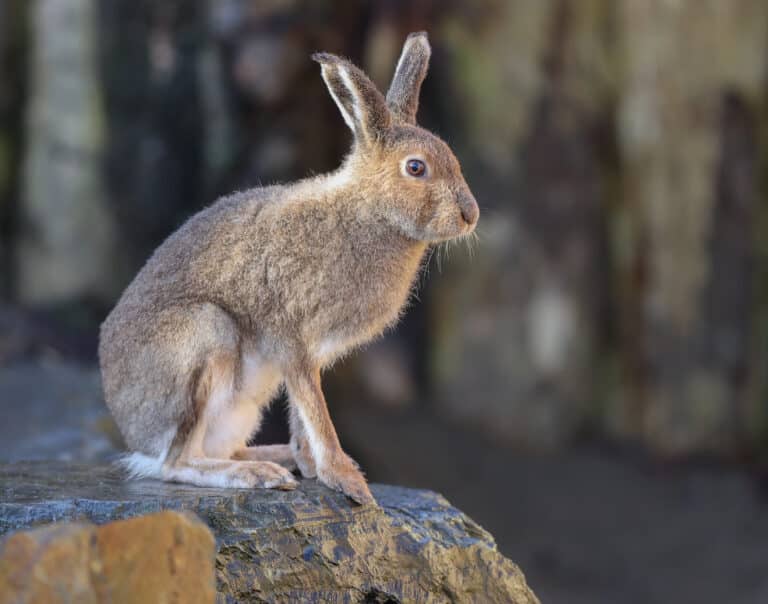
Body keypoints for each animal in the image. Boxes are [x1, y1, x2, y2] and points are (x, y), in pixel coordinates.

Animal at [98, 31, 479, 505]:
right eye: (415, 167)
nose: (470, 215)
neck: (369, 211)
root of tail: (136, 437)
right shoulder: (293, 341)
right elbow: (318, 414)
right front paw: (348, 481)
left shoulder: (310, 357)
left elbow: (304, 414)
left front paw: (315, 467)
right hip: (205, 336)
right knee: (176, 463)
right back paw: (255, 474)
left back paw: (276, 459)